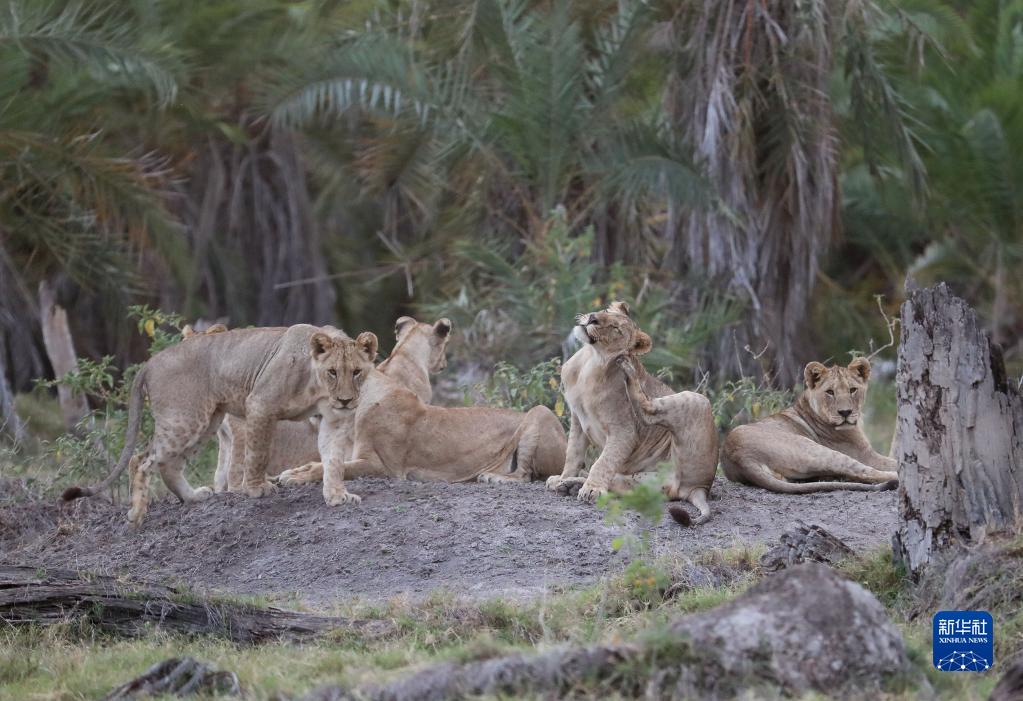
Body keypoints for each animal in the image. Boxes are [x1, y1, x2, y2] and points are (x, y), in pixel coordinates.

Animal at [61, 323, 378, 523]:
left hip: (205, 421)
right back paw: (136, 515)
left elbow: (334, 460)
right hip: (184, 418)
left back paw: (193, 498)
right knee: (140, 460)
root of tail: (151, 362)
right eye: (333, 372)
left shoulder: (334, 419)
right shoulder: (259, 404)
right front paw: (256, 489)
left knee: (169, 465)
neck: (316, 384)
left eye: (357, 372)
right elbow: (257, 454)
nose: (346, 400)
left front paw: (337, 495)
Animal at [313, 349, 568, 503]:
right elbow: (327, 465)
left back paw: (493, 478)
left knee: (525, 475)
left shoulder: (383, 467)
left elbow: (328, 468)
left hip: (540, 412)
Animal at [544, 300, 720, 523]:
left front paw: (592, 490)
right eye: (605, 311)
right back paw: (570, 484)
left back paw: (629, 371)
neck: (590, 362)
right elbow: (573, 454)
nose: (592, 318)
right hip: (641, 484)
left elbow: (603, 461)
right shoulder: (577, 419)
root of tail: (701, 487)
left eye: (616, 328)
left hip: (698, 401)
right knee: (617, 482)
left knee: (648, 410)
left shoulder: (625, 431)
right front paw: (563, 477)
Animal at [720, 356, 896, 491]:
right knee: (863, 472)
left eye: (852, 390)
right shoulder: (866, 455)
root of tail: (740, 457)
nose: (845, 412)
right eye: (830, 392)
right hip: (817, 450)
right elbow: (891, 462)